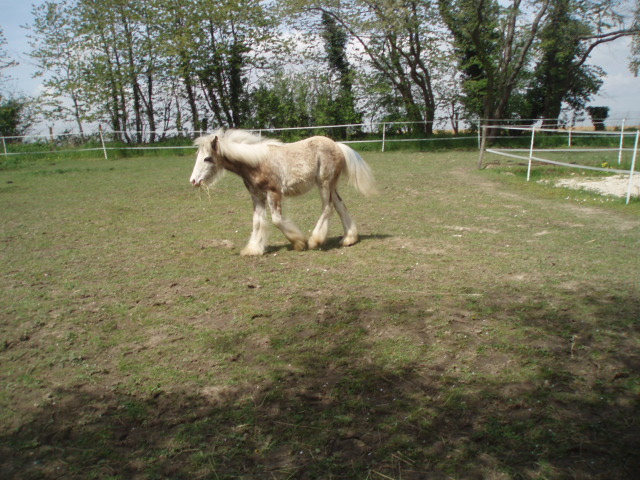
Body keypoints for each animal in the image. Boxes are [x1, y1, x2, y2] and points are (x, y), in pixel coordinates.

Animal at [190, 127, 380, 255]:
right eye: (198, 156)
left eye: (208, 158)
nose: (193, 181)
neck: (256, 163)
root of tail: (338, 145)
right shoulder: (256, 195)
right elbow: (257, 222)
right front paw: (253, 249)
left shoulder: (274, 193)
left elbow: (276, 220)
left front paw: (299, 242)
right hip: (332, 185)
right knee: (340, 206)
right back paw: (349, 239)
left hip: (324, 184)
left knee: (328, 208)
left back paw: (315, 241)